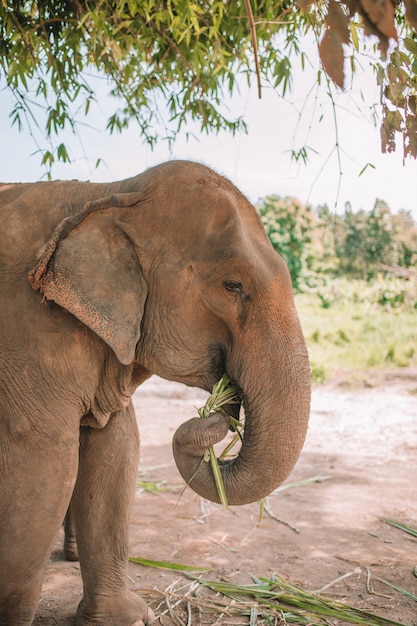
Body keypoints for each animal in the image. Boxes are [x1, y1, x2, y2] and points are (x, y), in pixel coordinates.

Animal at [0, 161, 310, 624]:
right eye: (232, 285)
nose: (223, 404)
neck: (113, 193)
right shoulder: (27, 332)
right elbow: (44, 465)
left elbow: (116, 449)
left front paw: (126, 618)